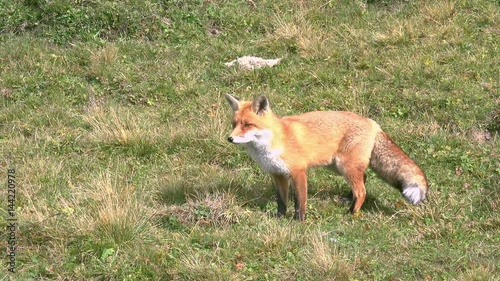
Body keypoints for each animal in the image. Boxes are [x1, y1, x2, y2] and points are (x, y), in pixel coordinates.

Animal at [225, 93, 428, 220]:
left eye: (248, 124)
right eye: (234, 124)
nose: (230, 138)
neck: (272, 143)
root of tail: (373, 122)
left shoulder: (298, 172)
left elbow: (300, 201)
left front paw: (298, 221)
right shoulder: (278, 174)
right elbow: (281, 201)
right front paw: (279, 218)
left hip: (345, 166)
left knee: (362, 190)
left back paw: (351, 213)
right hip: (339, 166)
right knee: (363, 179)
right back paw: (349, 200)